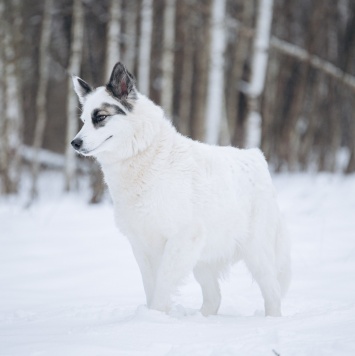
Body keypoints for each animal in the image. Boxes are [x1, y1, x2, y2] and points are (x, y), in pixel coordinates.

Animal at [71, 62, 292, 318]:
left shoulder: (182, 239)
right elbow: (151, 285)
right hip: (203, 260)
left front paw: (155, 317)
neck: (144, 156)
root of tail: (257, 157)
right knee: (214, 298)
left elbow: (163, 285)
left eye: (100, 117)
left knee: (273, 293)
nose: (74, 143)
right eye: (84, 120)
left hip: (256, 253)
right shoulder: (142, 245)